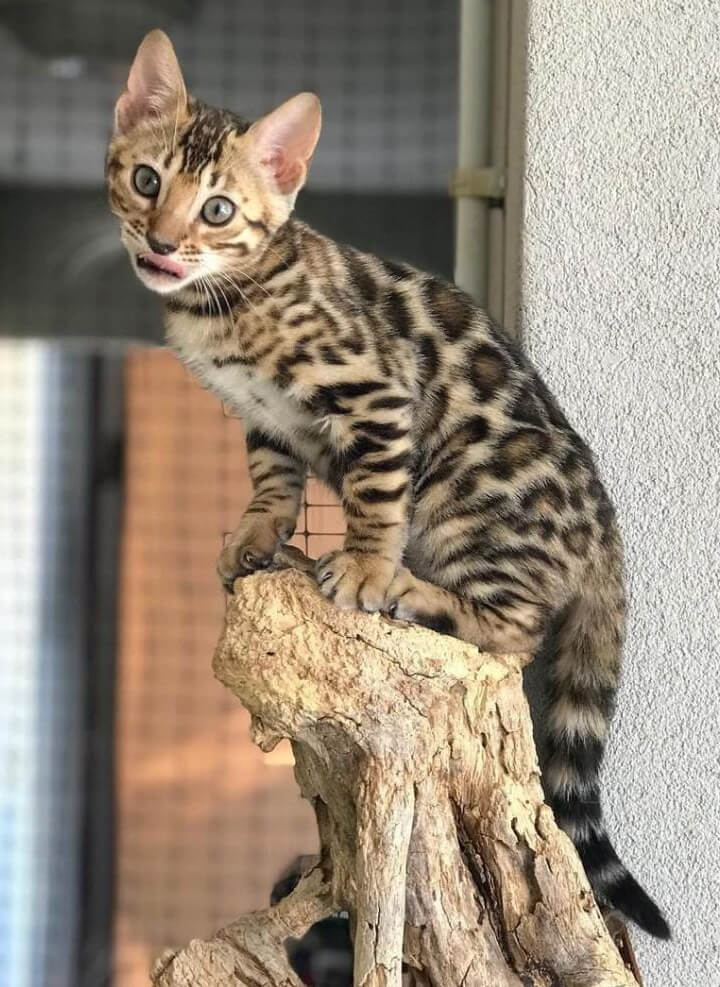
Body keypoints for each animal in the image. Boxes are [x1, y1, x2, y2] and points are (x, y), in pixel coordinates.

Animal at [107, 32, 668, 940]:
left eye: (218, 210)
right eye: (148, 180)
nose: (161, 241)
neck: (229, 297)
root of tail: (606, 531)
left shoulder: (376, 391)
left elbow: (374, 494)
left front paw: (366, 567)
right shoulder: (267, 422)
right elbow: (273, 482)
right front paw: (254, 538)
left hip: (466, 503)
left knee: (514, 632)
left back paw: (410, 591)